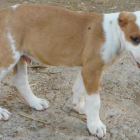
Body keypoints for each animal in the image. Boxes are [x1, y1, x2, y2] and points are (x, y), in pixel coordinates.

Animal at [0, 3, 140, 139]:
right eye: (135, 38)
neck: (115, 32)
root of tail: (3, 12)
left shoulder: (86, 69)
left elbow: (79, 90)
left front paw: (80, 107)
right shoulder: (92, 70)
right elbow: (94, 101)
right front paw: (95, 125)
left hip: (19, 57)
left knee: (20, 80)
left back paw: (35, 102)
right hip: (8, 57)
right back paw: (2, 112)